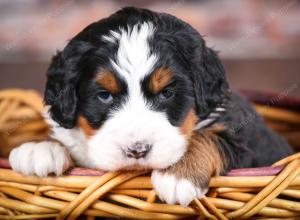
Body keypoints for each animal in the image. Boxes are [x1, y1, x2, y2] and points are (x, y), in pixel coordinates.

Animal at [9, 7, 292, 206]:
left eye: (167, 93)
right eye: (104, 96)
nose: (137, 150)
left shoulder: (244, 138)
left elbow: (210, 136)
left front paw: (179, 175)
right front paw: (40, 149)